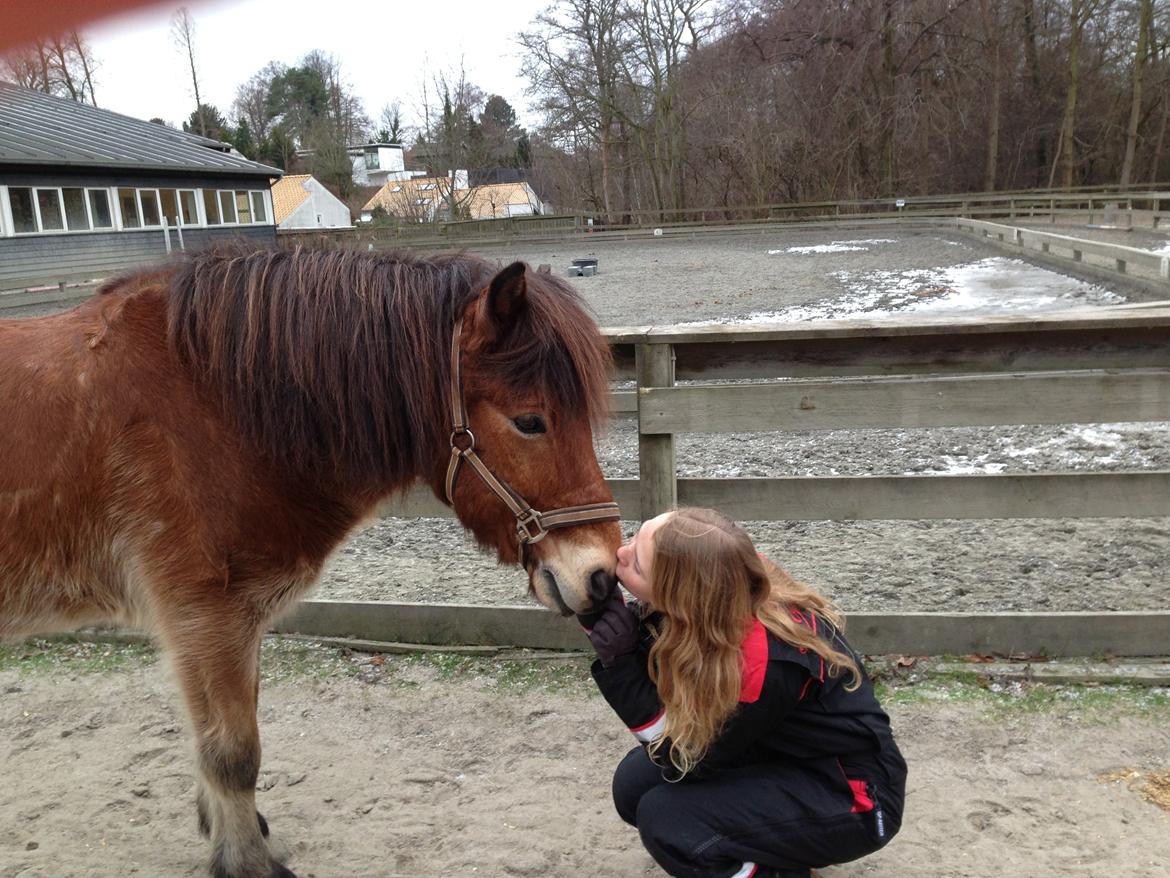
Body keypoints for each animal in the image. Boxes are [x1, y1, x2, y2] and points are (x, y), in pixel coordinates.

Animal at [0, 249, 622, 878]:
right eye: (530, 421)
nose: (602, 575)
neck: (211, 406)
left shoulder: (228, 623)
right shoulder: (204, 618)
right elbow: (232, 752)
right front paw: (247, 862)